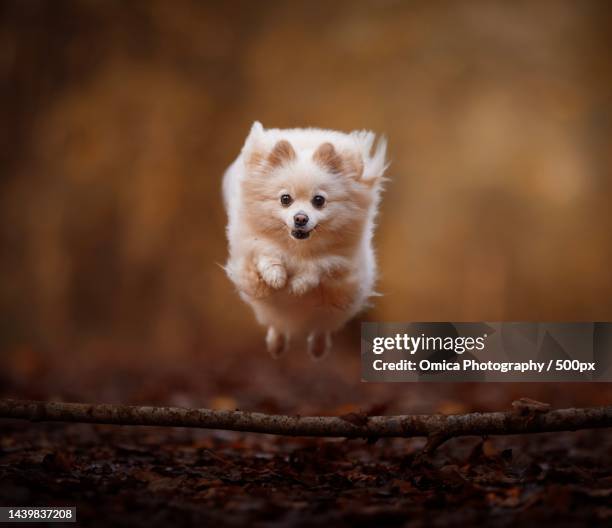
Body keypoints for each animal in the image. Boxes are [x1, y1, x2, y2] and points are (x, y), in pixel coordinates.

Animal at [224, 121, 388, 358]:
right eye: (285, 199)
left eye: (318, 200)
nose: (300, 218)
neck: (298, 249)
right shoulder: (253, 248)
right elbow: (267, 255)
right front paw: (276, 277)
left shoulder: (339, 265)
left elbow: (317, 269)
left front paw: (298, 285)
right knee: (278, 326)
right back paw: (276, 345)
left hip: (329, 313)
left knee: (321, 329)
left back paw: (318, 349)